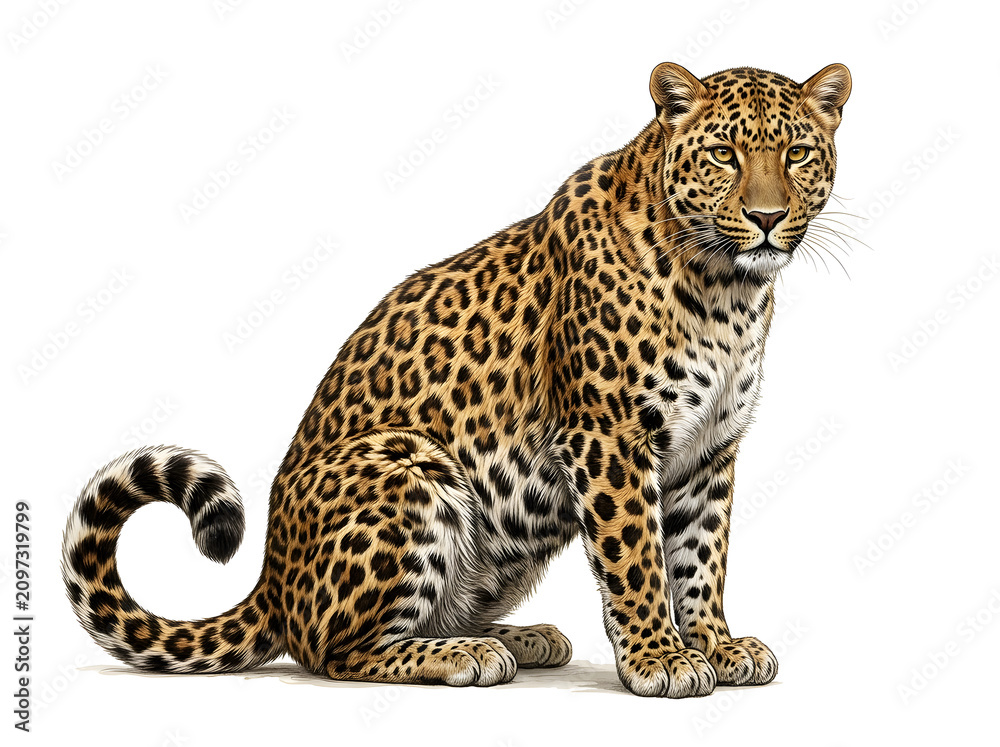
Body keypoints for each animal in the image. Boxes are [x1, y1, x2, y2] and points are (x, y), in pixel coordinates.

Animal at [62, 61, 851, 698]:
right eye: (723, 155)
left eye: (797, 154)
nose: (768, 217)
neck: (727, 292)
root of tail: (272, 580)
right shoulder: (611, 437)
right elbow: (637, 558)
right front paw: (661, 658)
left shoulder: (710, 449)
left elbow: (701, 556)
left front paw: (718, 643)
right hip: (411, 466)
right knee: (333, 650)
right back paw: (464, 654)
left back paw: (521, 637)